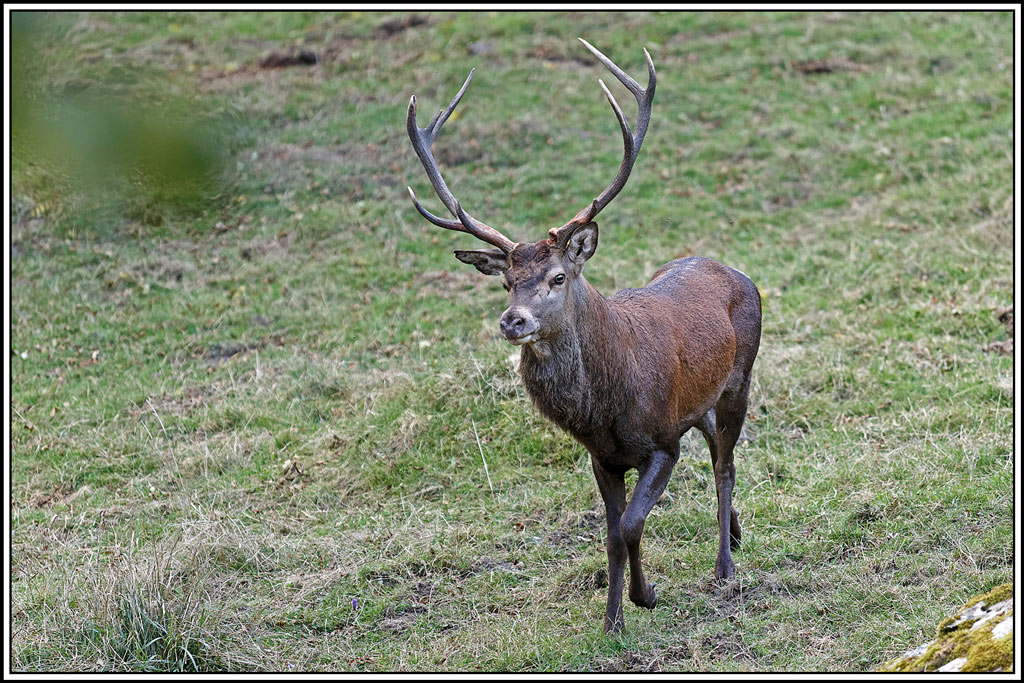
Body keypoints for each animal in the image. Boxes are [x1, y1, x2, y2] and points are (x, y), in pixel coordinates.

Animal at [405, 38, 762, 634]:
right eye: (505, 282)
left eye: (557, 276)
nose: (513, 320)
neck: (607, 407)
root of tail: (736, 273)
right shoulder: (602, 457)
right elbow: (612, 536)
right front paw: (613, 619)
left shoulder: (661, 442)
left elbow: (631, 526)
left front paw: (648, 596)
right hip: (701, 398)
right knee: (714, 438)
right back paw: (732, 534)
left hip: (741, 376)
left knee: (725, 462)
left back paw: (725, 566)